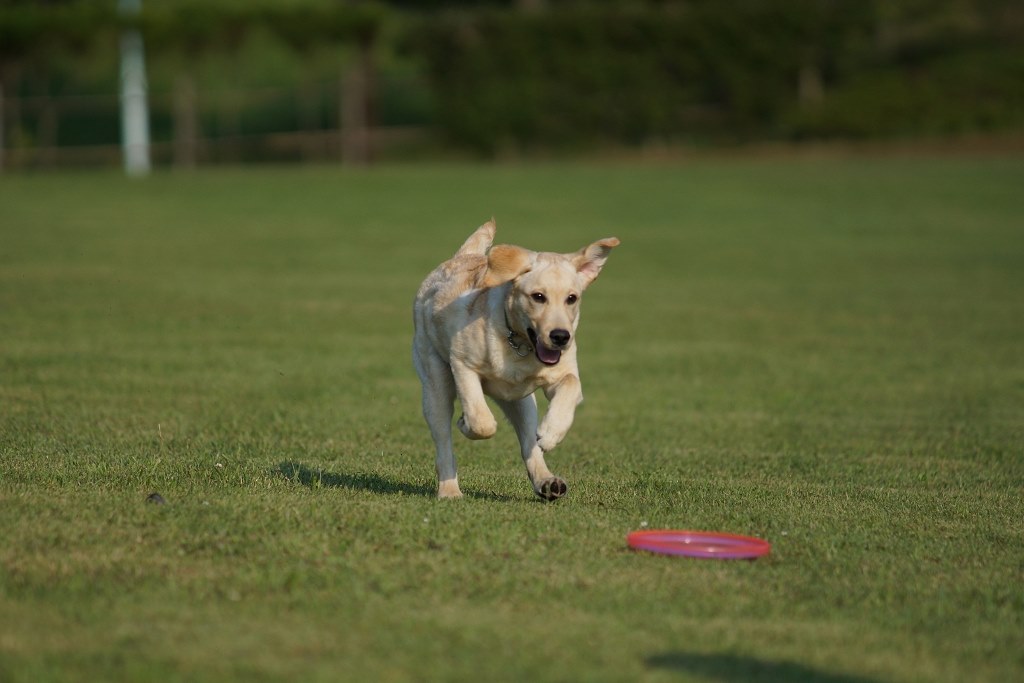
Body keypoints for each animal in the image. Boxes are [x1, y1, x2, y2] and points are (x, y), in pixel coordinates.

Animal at [411, 222, 618, 499]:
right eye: (538, 296)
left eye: (571, 298)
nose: (561, 337)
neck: (518, 345)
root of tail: (460, 257)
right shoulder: (463, 365)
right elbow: (482, 421)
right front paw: (465, 422)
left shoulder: (563, 374)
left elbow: (570, 384)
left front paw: (551, 434)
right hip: (435, 386)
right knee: (444, 443)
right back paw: (449, 491)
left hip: (523, 404)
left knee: (529, 445)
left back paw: (547, 482)